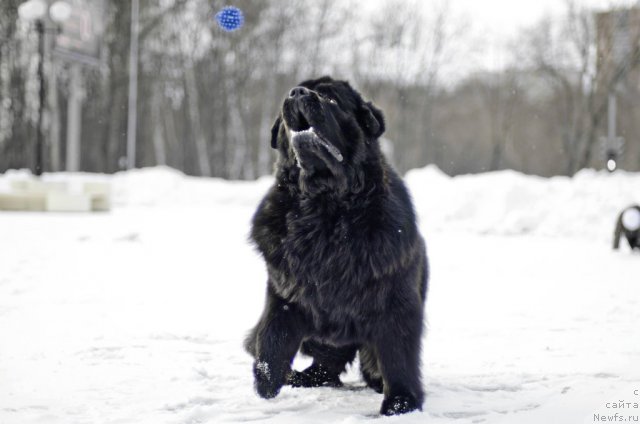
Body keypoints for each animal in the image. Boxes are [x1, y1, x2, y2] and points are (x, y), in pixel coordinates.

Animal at [245, 75, 430, 414]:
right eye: (296, 89)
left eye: (331, 99)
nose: (297, 92)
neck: (325, 206)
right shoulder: (285, 290)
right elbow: (273, 334)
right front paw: (266, 379)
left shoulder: (396, 300)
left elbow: (398, 354)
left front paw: (401, 402)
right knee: (325, 366)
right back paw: (298, 377)